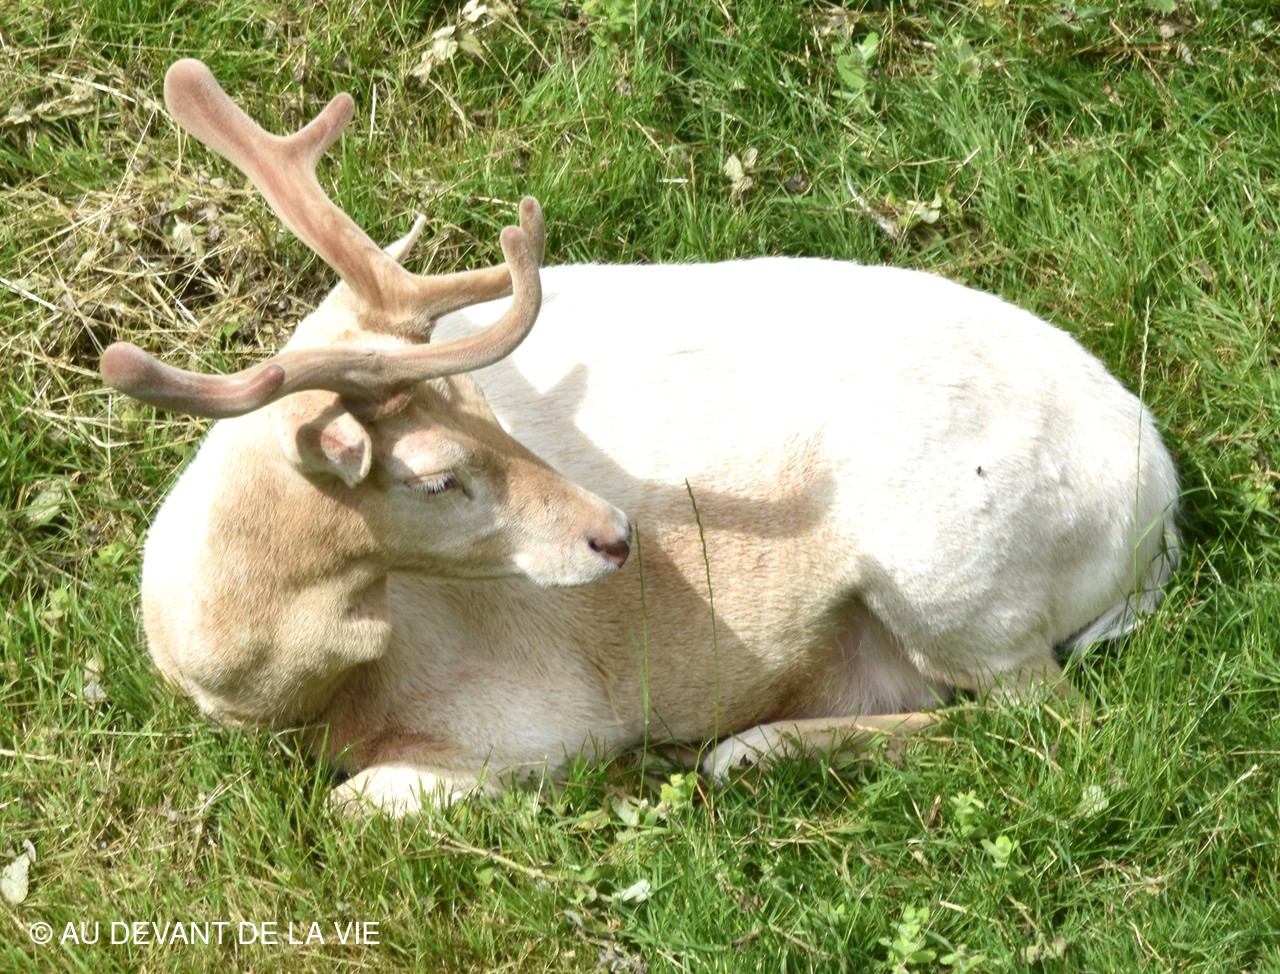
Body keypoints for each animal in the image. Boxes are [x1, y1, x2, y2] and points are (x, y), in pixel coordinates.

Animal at [101, 60, 1180, 816]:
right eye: (438, 476)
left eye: (485, 405)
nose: (615, 534)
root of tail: (1159, 497)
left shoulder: (536, 716)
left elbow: (359, 803)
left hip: (957, 577)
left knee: (1052, 725)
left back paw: (739, 751)